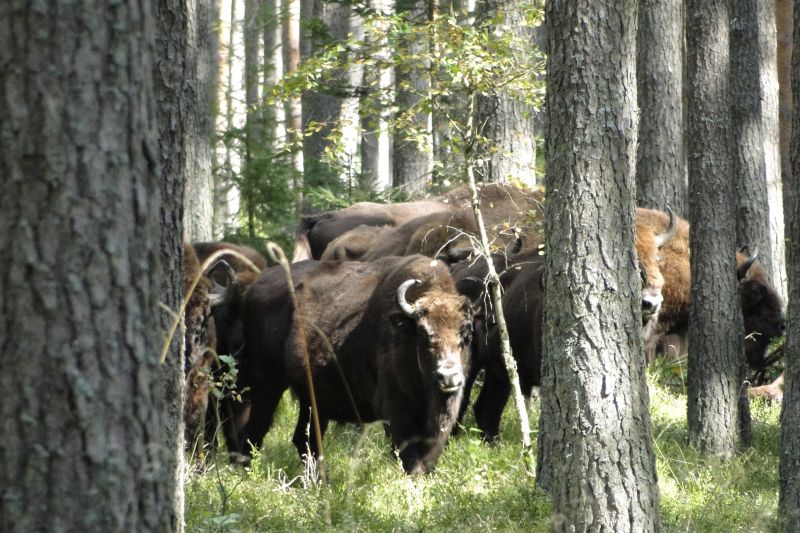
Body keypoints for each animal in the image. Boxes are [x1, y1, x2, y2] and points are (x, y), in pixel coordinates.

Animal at [219, 256, 476, 472]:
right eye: (423, 334)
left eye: (466, 333)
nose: (449, 377)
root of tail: (254, 287)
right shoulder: (397, 413)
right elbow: (410, 460)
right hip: (268, 385)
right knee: (255, 432)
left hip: (312, 400)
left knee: (304, 440)